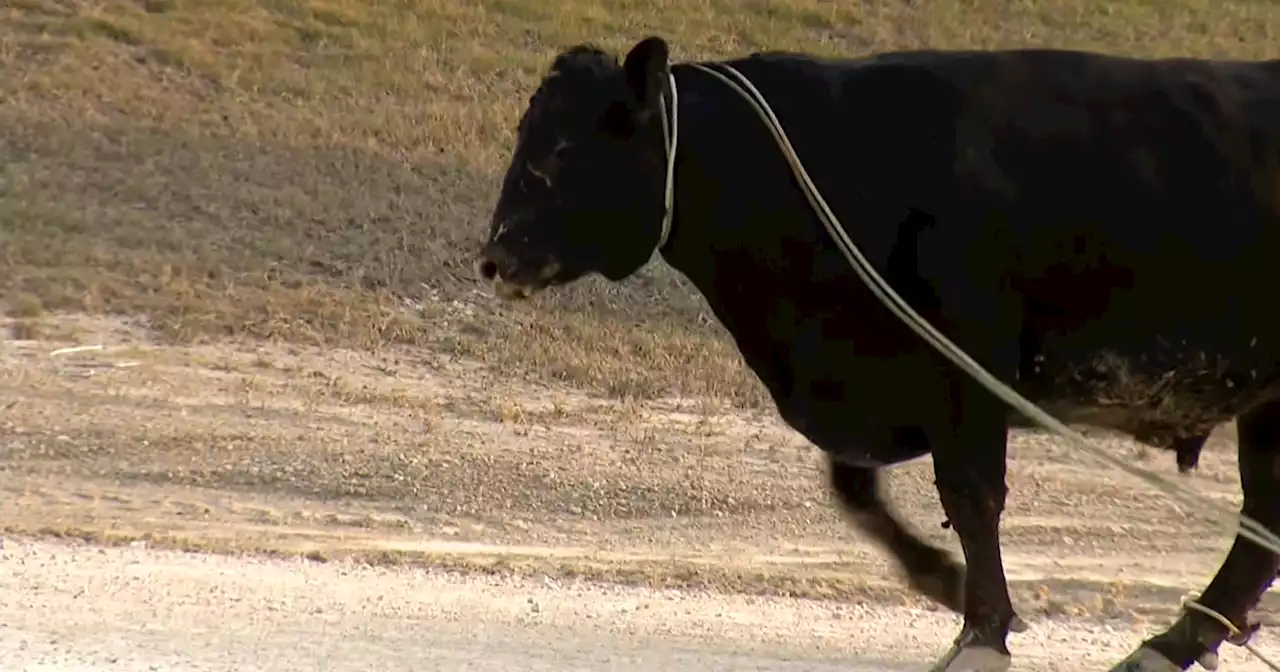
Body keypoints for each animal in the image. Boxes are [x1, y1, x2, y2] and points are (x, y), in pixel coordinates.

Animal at [476, 37, 1280, 670]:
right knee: (1261, 528)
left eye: (563, 150)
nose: (493, 258)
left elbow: (973, 498)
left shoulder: (967, 373)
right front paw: (945, 582)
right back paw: (1171, 643)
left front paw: (981, 634)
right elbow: (855, 488)